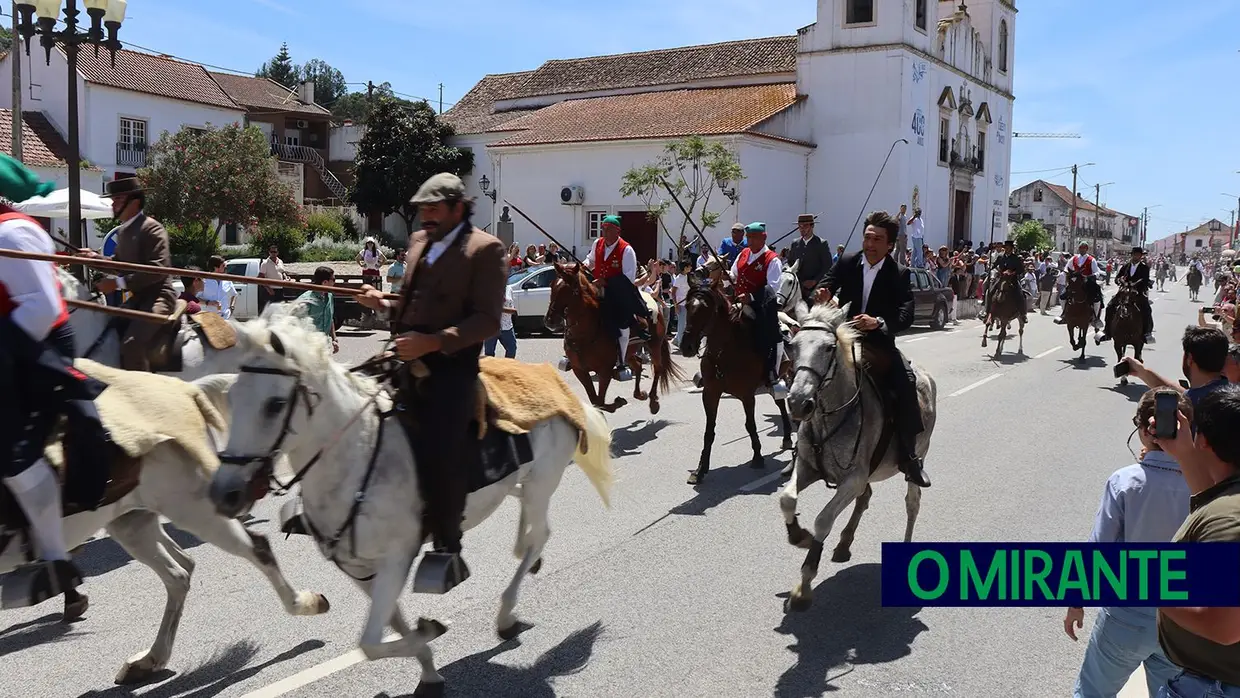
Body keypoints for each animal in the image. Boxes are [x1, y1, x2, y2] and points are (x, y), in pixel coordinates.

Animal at [0, 364, 329, 684]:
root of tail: (185, 390)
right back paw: (148, 661)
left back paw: (307, 603)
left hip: (195, 508)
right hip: (133, 521)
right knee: (179, 572)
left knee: (253, 549)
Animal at [208, 314, 615, 698]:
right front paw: (429, 671)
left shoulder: (395, 559)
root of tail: (557, 384)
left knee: (539, 535)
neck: (357, 458)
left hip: (541, 482)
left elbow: (370, 644)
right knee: (527, 530)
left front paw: (431, 631)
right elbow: (390, 627)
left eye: (275, 405)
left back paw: (506, 613)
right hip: (522, 483)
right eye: (231, 398)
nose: (225, 494)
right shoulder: (359, 569)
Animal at [545, 262, 684, 414]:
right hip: (629, 351)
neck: (584, 334)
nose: (550, 321)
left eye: (572, 287)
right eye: (552, 285)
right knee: (638, 364)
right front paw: (616, 402)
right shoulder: (579, 370)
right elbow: (595, 401)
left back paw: (653, 399)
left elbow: (600, 402)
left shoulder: (605, 370)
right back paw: (638, 394)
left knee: (658, 367)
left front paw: (617, 402)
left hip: (654, 345)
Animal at [679, 277, 793, 485]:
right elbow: (709, 431)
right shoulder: (710, 393)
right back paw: (787, 437)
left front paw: (757, 457)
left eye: (706, 308)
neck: (725, 352)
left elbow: (750, 424)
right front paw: (700, 470)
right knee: (781, 402)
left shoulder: (747, 395)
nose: (687, 347)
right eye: (688, 306)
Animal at [778, 304, 932, 612]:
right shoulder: (808, 467)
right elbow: (787, 498)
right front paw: (799, 536)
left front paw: (803, 587)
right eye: (792, 345)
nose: (799, 403)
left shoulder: (853, 479)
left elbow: (823, 519)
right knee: (866, 498)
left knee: (912, 503)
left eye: (828, 348)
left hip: (917, 458)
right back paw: (843, 544)